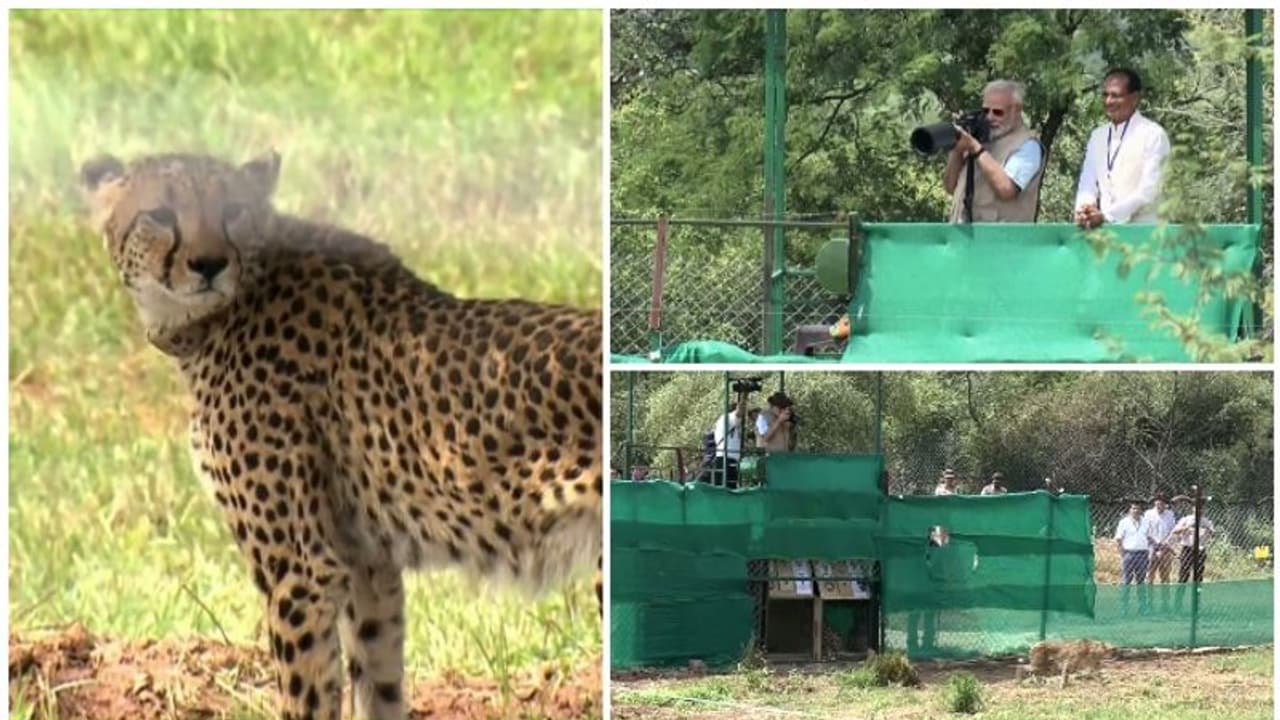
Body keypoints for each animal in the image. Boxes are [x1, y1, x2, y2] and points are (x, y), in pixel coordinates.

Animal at [79, 149, 603, 720]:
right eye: (160, 214)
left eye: (233, 208)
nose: (209, 263)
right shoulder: (366, 561)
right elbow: (377, 682)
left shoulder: (301, 570)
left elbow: (306, 696)